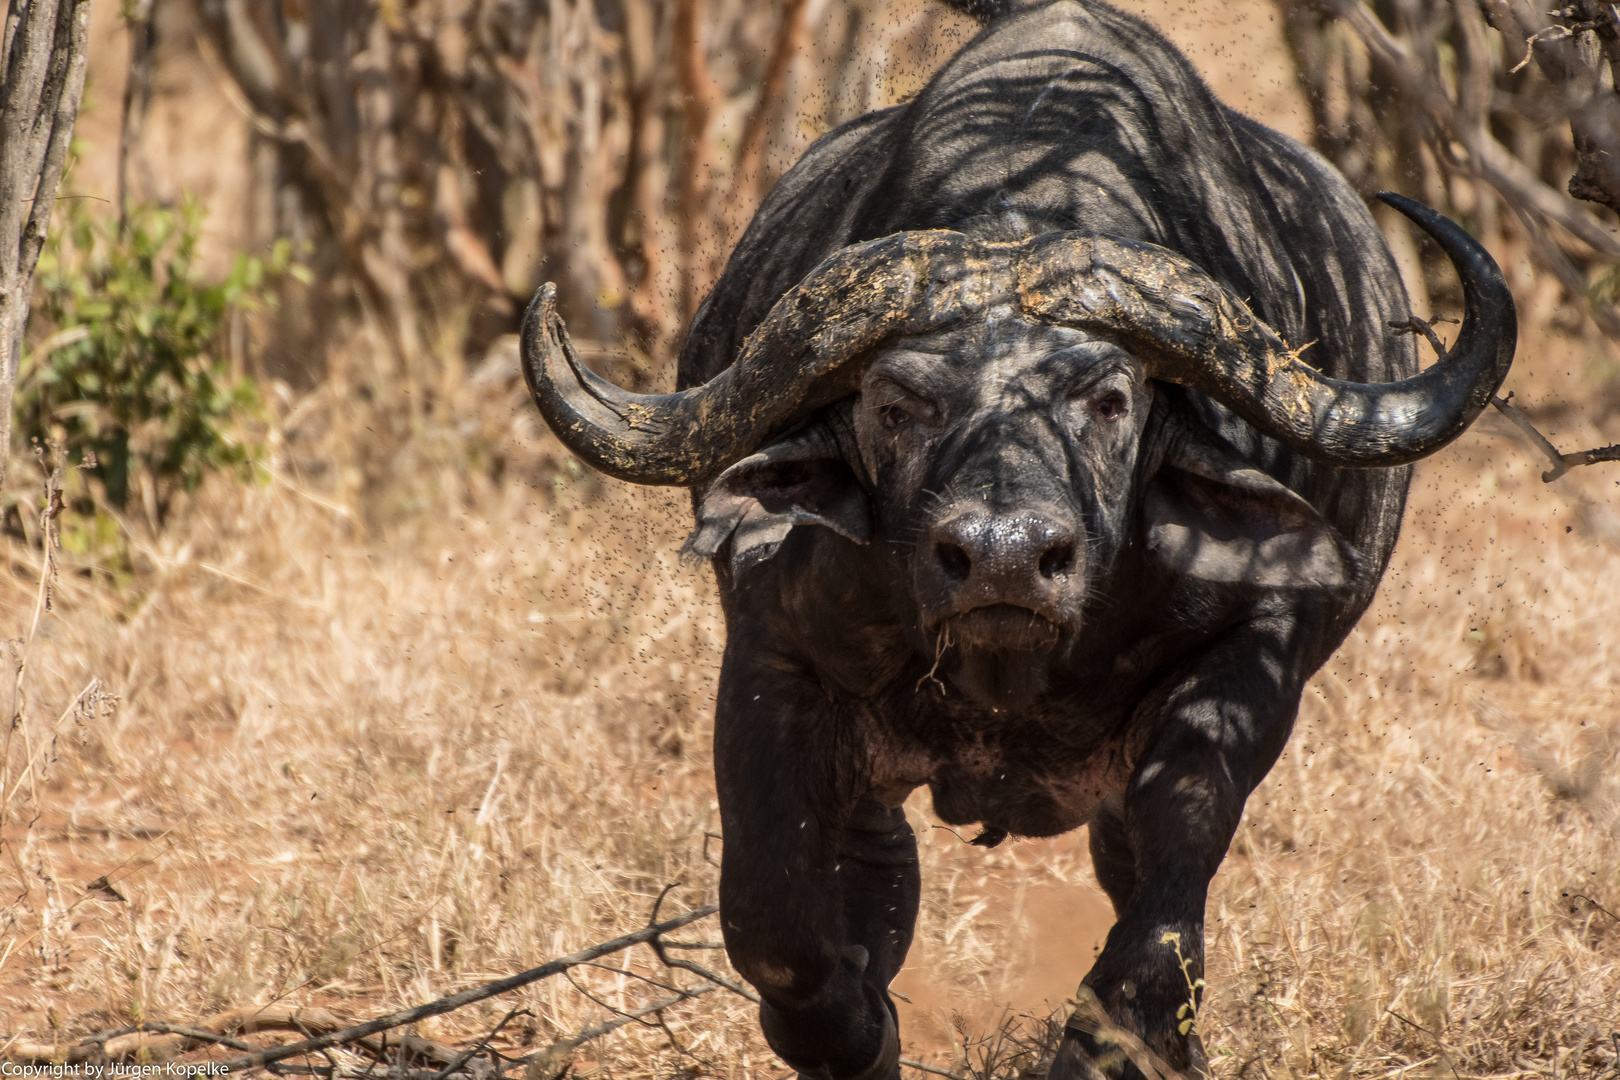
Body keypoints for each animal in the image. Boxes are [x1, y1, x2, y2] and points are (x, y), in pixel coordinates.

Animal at [521, 4, 1516, 1075]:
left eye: (1109, 399)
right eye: (897, 405)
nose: (1002, 556)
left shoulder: (1253, 654)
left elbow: (1168, 888)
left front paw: (1119, 1037)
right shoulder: (772, 653)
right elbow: (770, 920)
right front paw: (856, 1030)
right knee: (874, 852)